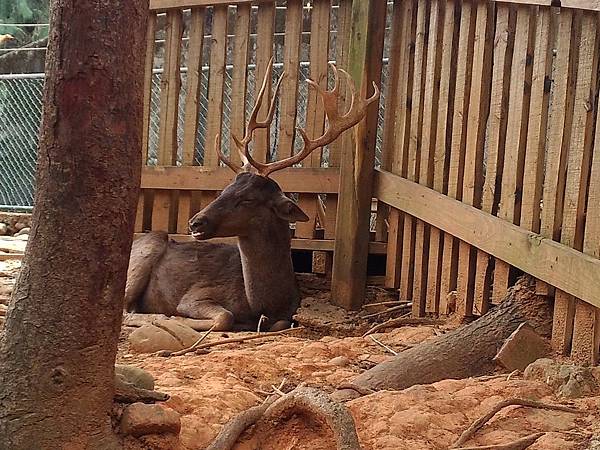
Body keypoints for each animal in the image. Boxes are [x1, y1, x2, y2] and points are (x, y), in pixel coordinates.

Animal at [123, 60, 380, 330]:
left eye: (247, 199)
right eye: (224, 190)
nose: (195, 222)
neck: (262, 303)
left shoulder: (288, 312)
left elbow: (279, 323)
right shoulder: (194, 296)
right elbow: (224, 317)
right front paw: (176, 318)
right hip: (145, 252)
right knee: (126, 309)